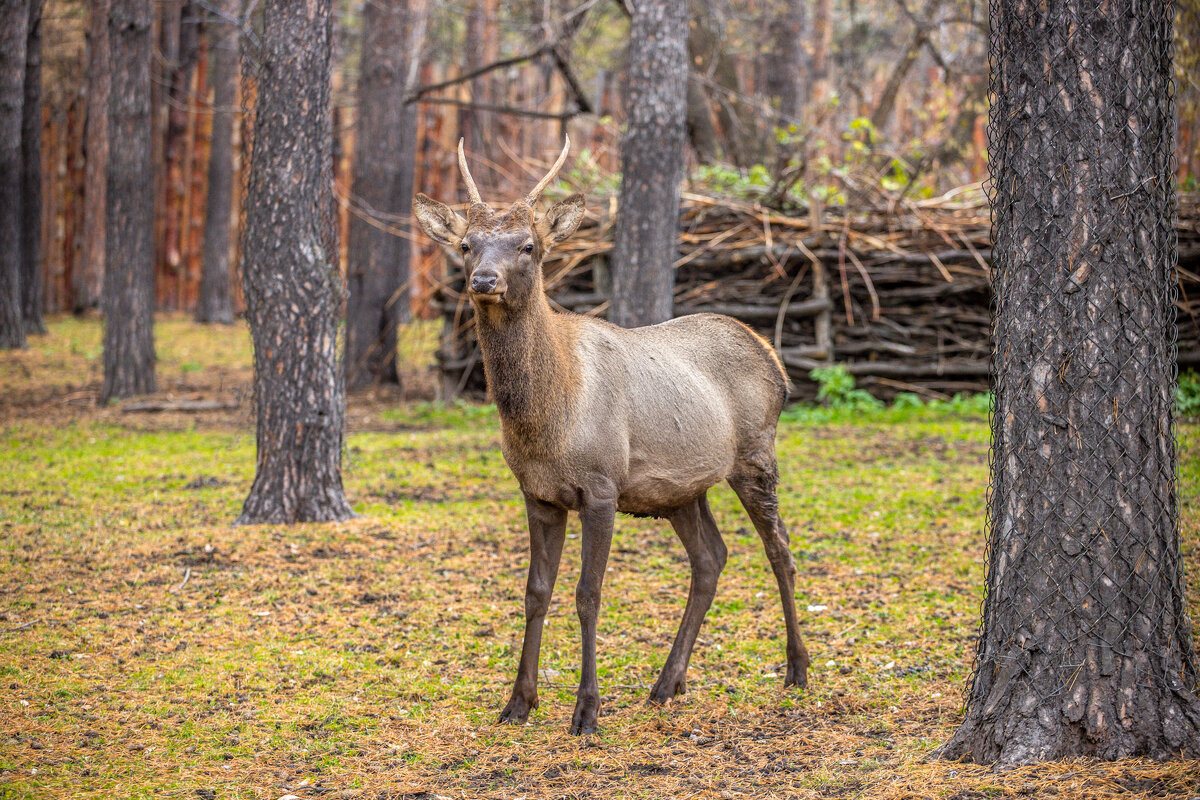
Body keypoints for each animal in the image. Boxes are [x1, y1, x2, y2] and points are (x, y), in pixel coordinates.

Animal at [415, 139, 816, 738]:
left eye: (529, 246)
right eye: (466, 244)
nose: (484, 280)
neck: (546, 422)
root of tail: (774, 357)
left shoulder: (601, 486)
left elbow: (589, 594)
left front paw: (586, 711)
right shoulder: (537, 494)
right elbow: (535, 592)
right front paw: (518, 702)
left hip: (755, 455)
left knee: (779, 550)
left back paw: (797, 669)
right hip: (681, 490)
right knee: (711, 558)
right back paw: (667, 683)